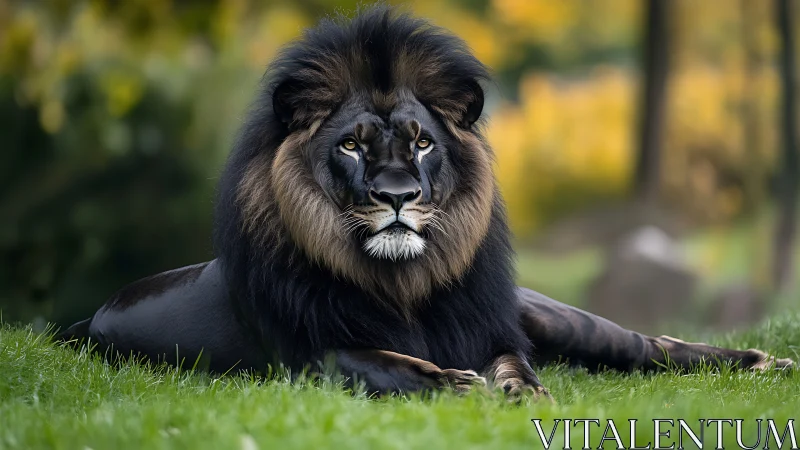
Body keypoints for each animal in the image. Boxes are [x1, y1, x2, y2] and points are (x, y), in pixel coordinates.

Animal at [60, 6, 793, 399]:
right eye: (351, 146)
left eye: (419, 142)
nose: (397, 198)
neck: (405, 282)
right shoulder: (310, 354)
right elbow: (386, 363)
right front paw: (459, 384)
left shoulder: (492, 327)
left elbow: (516, 361)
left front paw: (523, 391)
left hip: (555, 314)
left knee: (647, 342)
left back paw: (764, 362)